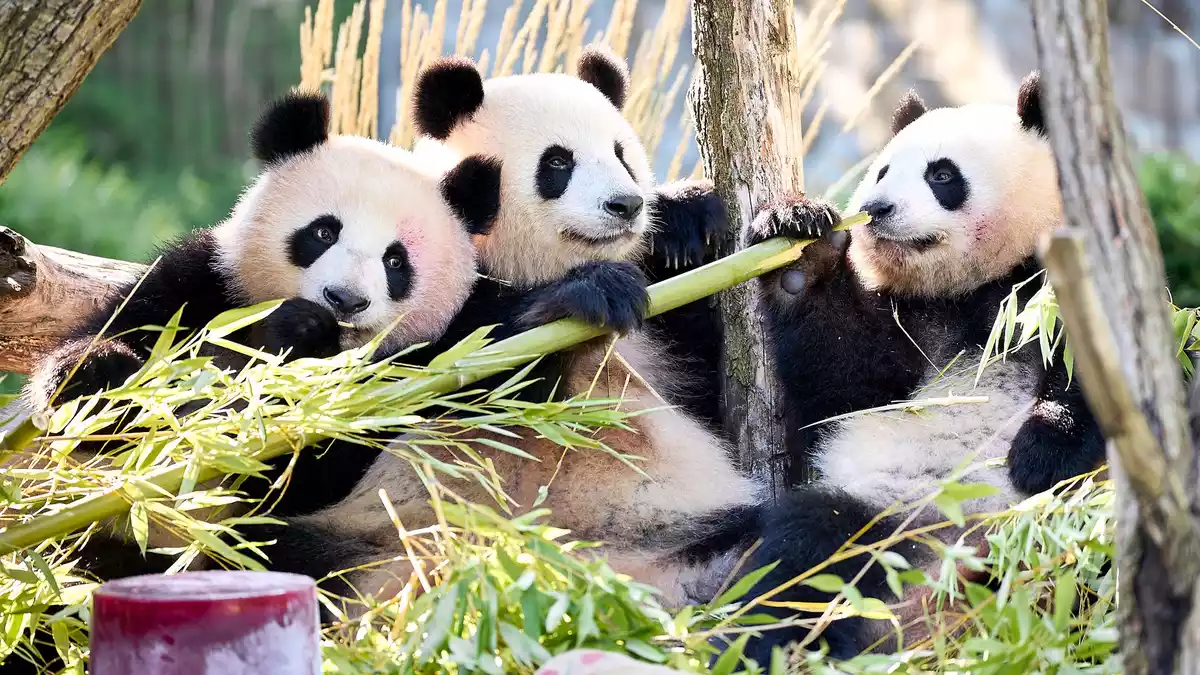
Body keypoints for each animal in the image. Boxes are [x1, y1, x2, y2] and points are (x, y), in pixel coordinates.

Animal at [15, 90, 502, 582]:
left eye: (396, 261)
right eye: (323, 232)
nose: (344, 300)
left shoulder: (414, 376)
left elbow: (304, 469)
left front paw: (299, 348)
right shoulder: (203, 284)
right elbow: (112, 379)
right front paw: (99, 374)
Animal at [728, 72, 1109, 663]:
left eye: (942, 175)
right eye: (883, 169)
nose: (877, 207)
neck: (978, 287)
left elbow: (1096, 380)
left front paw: (1041, 453)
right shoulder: (915, 326)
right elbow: (850, 375)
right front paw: (803, 249)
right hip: (889, 515)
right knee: (809, 554)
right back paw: (774, 645)